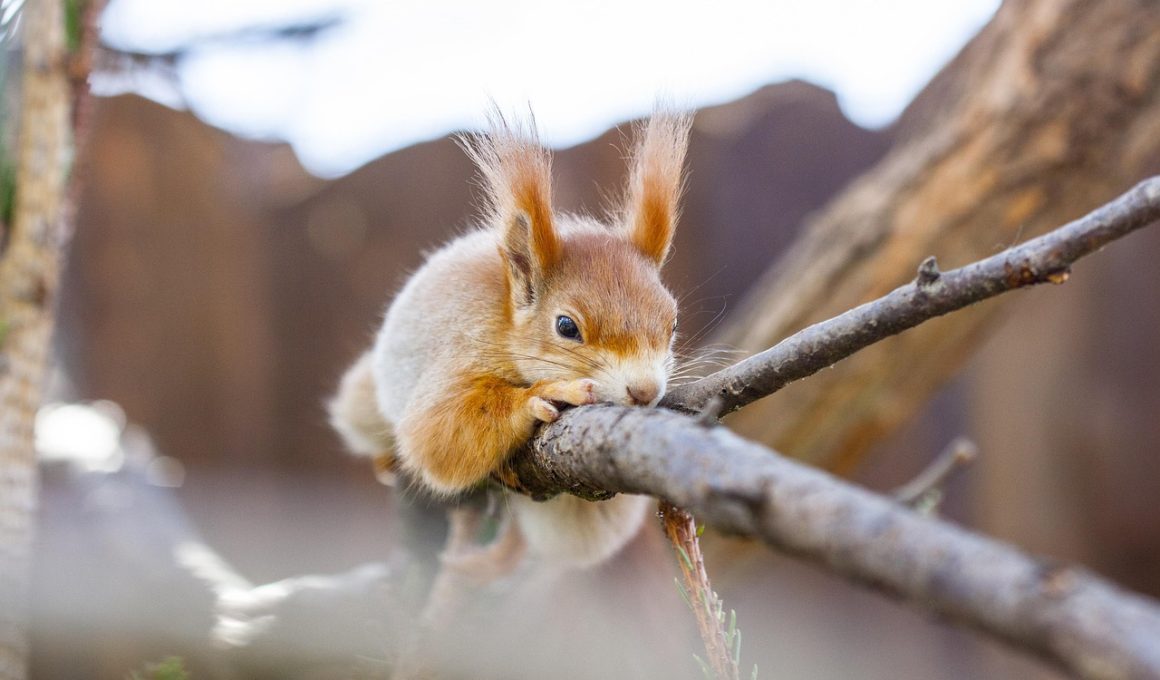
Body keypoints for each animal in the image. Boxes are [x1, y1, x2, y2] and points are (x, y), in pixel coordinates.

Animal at [329, 111, 686, 566]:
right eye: (566, 326)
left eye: (672, 324)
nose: (645, 391)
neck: (506, 326)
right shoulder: (462, 344)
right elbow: (436, 433)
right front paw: (542, 394)